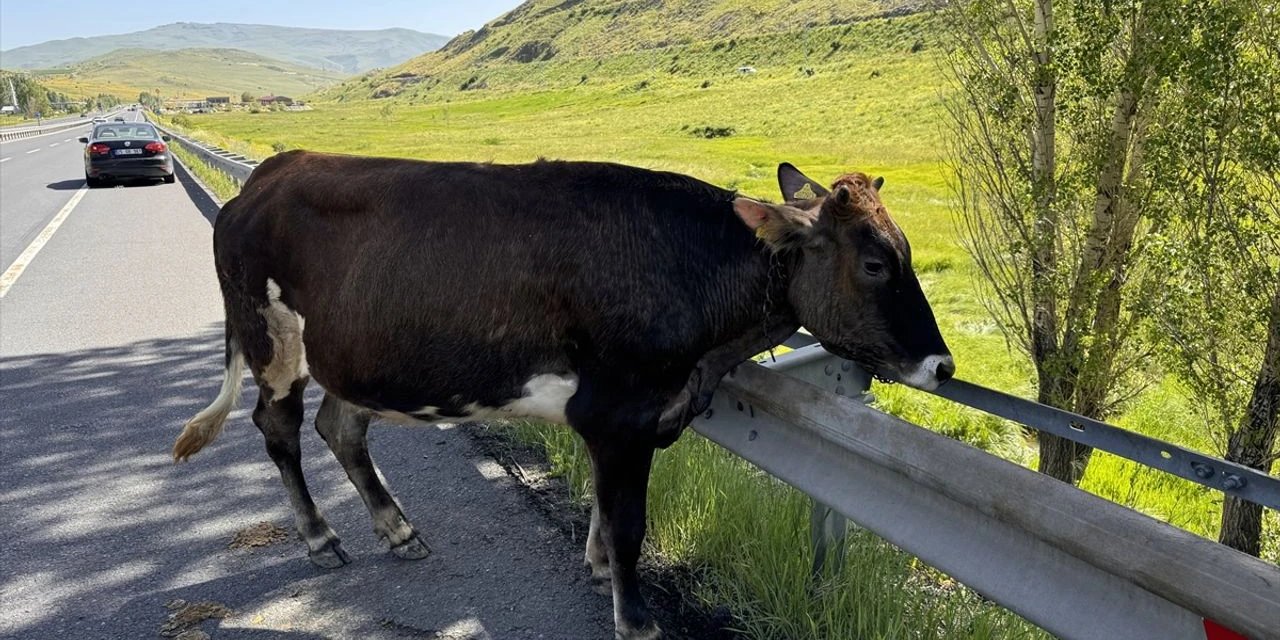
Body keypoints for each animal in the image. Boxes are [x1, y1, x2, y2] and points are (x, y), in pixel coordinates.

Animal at [177, 151, 952, 640]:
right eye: (876, 262)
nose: (942, 365)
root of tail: (271, 172)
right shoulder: (619, 413)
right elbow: (629, 523)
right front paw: (635, 619)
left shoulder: (638, 416)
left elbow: (608, 515)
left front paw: (599, 567)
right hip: (272, 337)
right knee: (277, 428)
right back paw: (320, 537)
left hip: (361, 357)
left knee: (340, 428)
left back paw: (398, 530)